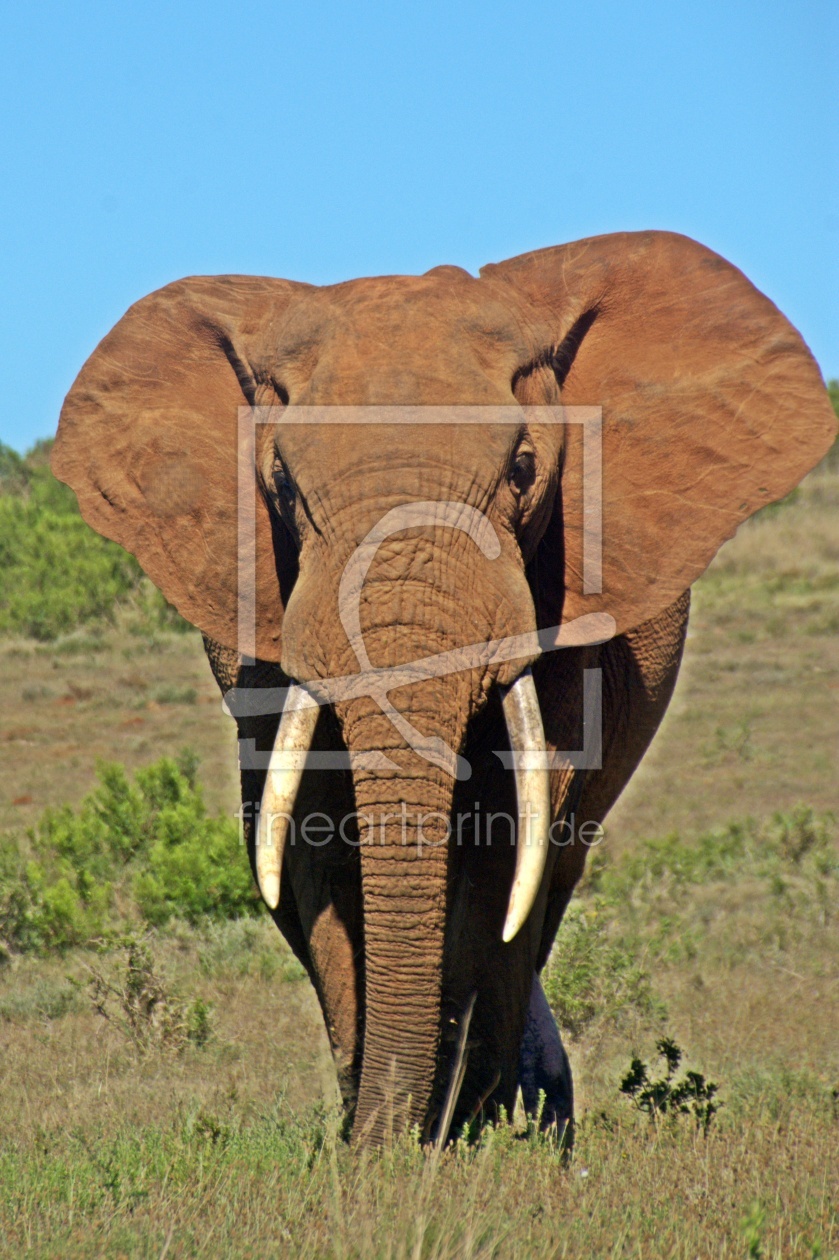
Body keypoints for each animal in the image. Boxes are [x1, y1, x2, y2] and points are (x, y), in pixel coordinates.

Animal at [52, 231, 836, 1146]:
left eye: (524, 469)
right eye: (280, 486)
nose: (377, 1144)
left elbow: (502, 835)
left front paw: (458, 1137)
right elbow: (314, 836)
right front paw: (374, 1142)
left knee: (547, 876)